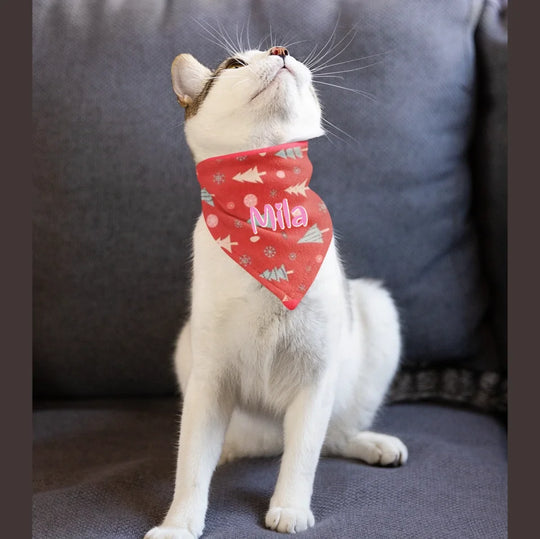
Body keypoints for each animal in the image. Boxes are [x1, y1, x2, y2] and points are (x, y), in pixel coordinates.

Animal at [146, 46, 408, 539]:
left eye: (285, 49)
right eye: (234, 64)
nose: (280, 51)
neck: (268, 204)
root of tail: (265, 441)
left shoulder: (316, 375)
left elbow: (302, 457)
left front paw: (289, 507)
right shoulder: (210, 381)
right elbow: (190, 466)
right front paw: (179, 524)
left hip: (376, 311)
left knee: (334, 437)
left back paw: (372, 443)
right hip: (188, 348)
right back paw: (229, 452)